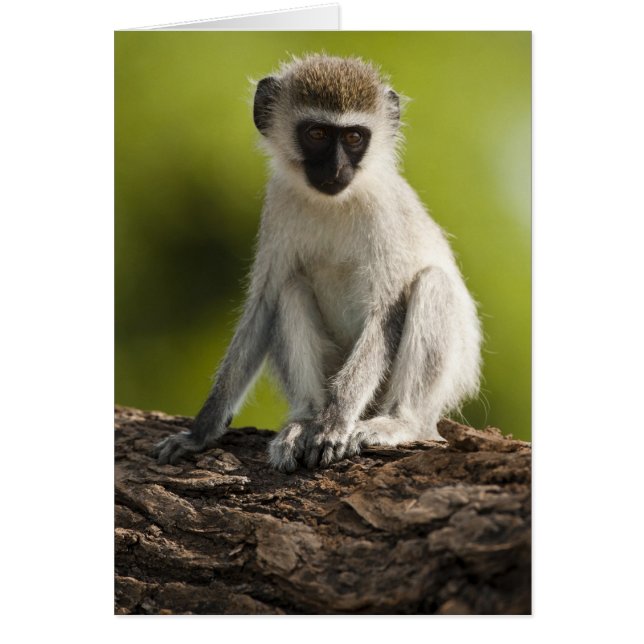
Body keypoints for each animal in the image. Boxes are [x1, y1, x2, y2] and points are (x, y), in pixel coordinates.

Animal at [153, 54, 482, 472]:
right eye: (318, 134)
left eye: (354, 138)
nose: (336, 169)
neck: (335, 203)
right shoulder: (278, 204)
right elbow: (263, 306)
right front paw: (201, 431)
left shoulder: (384, 212)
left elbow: (386, 314)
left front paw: (335, 424)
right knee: (290, 289)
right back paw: (306, 420)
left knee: (433, 285)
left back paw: (397, 422)